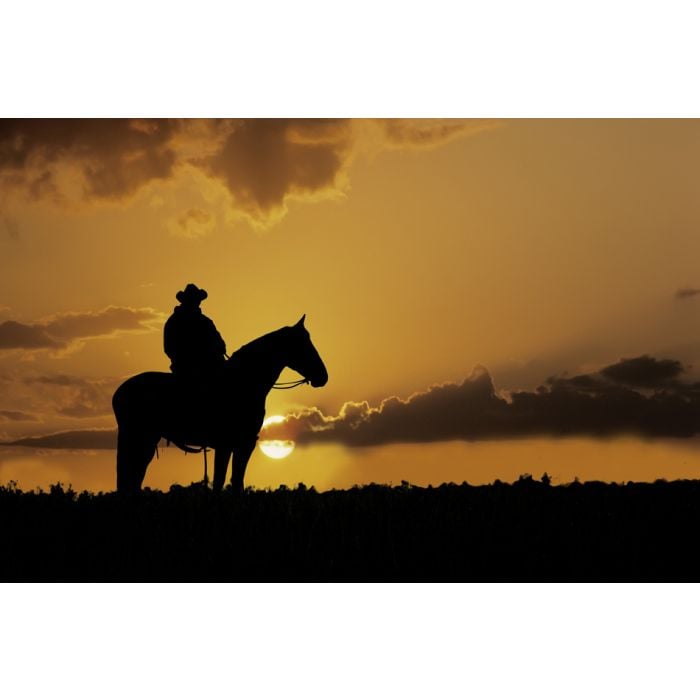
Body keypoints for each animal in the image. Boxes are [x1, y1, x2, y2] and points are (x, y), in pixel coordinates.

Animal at [111, 316, 328, 492]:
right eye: (303, 344)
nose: (323, 376)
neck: (242, 381)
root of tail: (119, 392)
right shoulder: (229, 444)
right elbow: (222, 480)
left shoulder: (242, 443)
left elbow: (234, 481)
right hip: (139, 437)